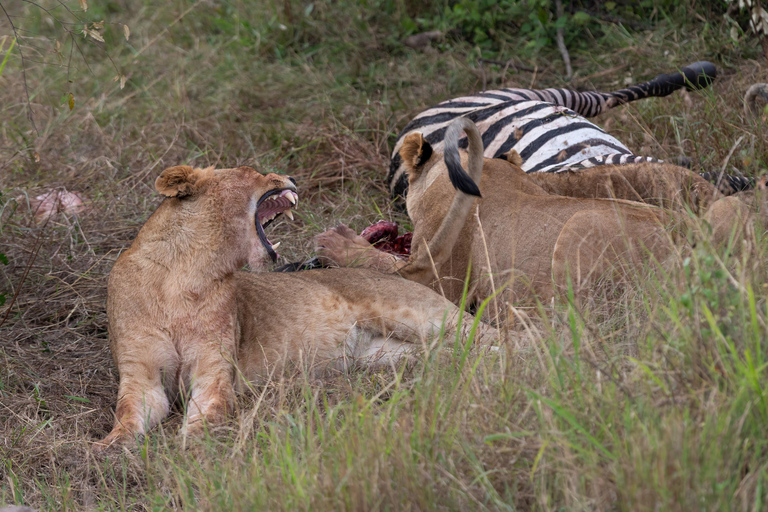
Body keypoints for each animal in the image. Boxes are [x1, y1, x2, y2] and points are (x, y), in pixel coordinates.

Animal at [96, 166, 498, 450]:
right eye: (251, 170)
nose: (291, 177)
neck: (185, 276)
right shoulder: (141, 376)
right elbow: (129, 413)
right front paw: (110, 446)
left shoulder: (214, 370)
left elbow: (209, 408)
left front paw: (192, 439)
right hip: (392, 355)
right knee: (455, 353)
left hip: (420, 315)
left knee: (499, 335)